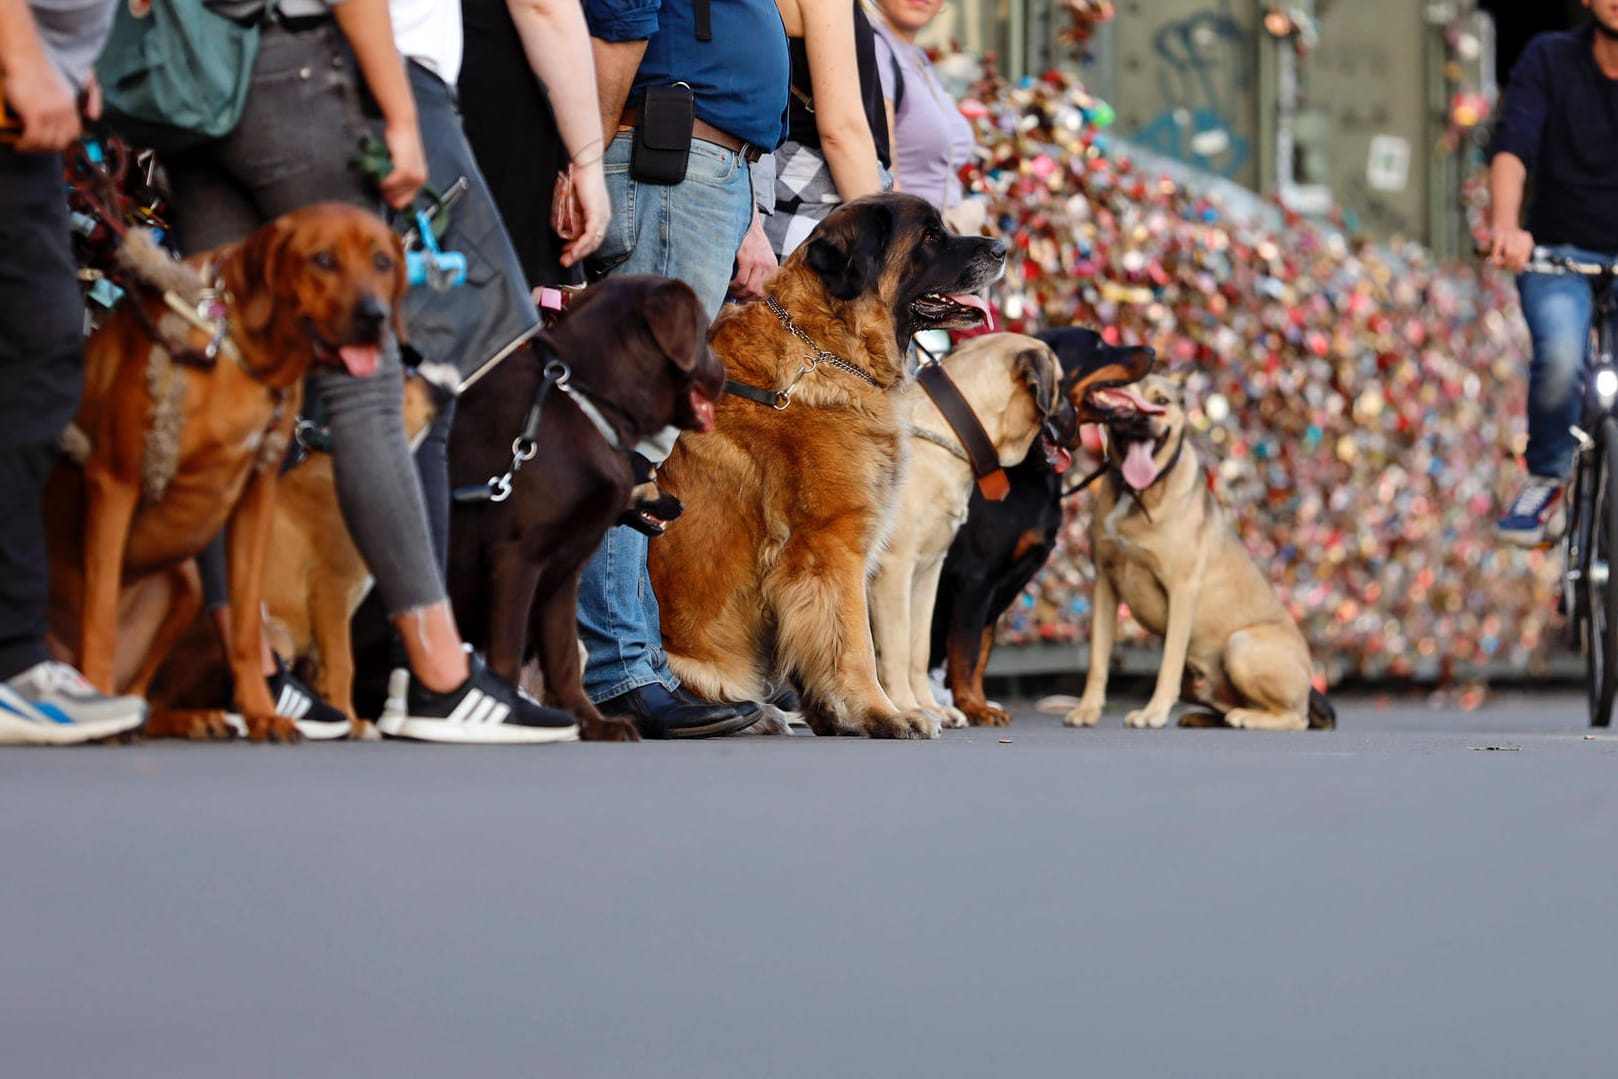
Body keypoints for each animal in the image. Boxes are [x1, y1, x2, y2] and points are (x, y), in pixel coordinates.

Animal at [48, 202, 410, 744]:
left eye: (383, 262)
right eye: (323, 260)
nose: (374, 318)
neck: (239, 354)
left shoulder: (255, 498)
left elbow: (243, 626)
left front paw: (261, 713)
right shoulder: (115, 483)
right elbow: (101, 618)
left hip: (189, 585)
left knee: (145, 696)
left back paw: (183, 718)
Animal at [443, 276, 721, 744]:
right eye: (650, 476)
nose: (681, 505)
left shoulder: (559, 578)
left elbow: (564, 662)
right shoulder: (517, 562)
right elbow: (511, 654)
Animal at [650, 194, 1003, 737]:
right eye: (930, 236)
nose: (1002, 248)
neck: (829, 348)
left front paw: (837, 715)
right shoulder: (832, 546)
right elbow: (855, 644)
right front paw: (884, 713)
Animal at [1067, 373, 1333, 734]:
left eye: (1161, 401)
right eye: (1122, 399)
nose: (1139, 419)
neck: (1138, 493)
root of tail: (1310, 684)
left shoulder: (1182, 589)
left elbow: (1169, 661)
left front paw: (1153, 713)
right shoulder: (1105, 584)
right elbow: (1098, 658)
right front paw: (1087, 709)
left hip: (1241, 644)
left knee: (1297, 718)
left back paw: (1247, 718)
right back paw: (1204, 717)